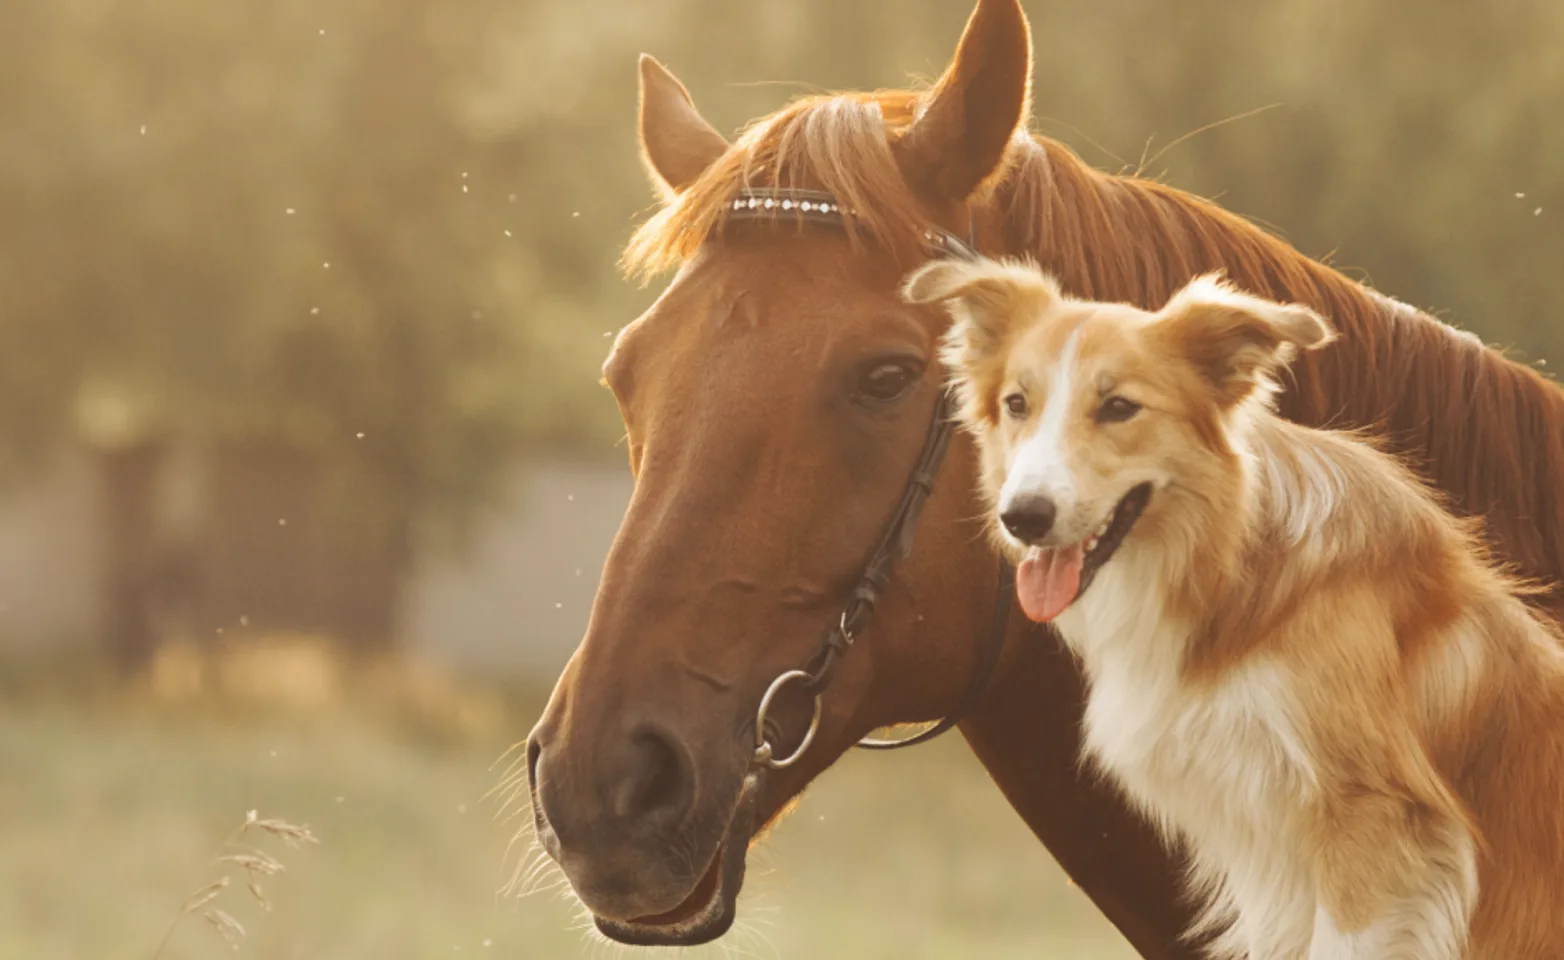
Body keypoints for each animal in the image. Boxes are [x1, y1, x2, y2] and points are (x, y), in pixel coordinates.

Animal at [900, 257, 1564, 960]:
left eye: (1118, 407)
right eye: (1016, 405)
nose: (1022, 517)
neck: (1229, 567)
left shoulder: (1374, 826)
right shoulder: (1270, 854)